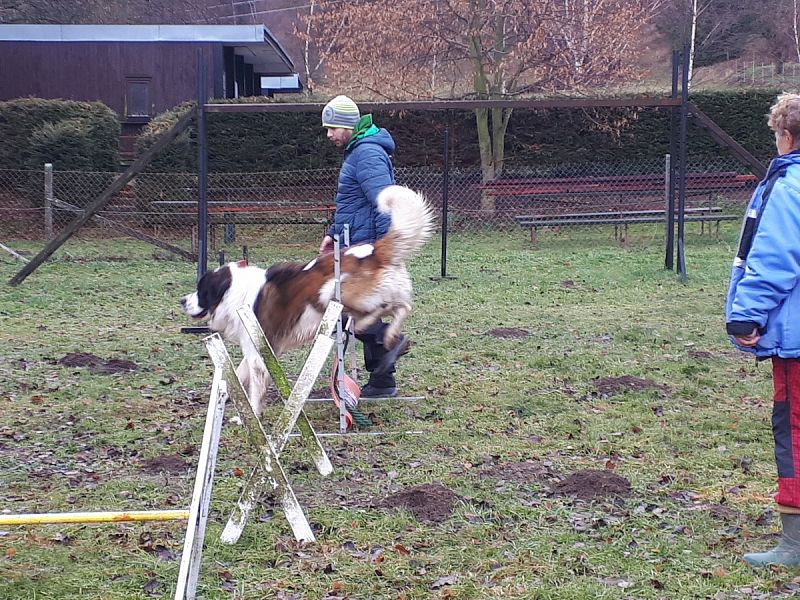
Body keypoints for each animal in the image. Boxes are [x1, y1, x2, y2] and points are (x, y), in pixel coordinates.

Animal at [181, 185, 434, 414]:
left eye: (201, 290)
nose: (183, 300)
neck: (233, 291)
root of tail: (373, 251)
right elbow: (242, 374)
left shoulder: (256, 350)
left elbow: (254, 383)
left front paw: (251, 413)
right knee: (401, 307)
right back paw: (389, 335)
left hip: (333, 292)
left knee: (385, 308)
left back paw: (368, 326)